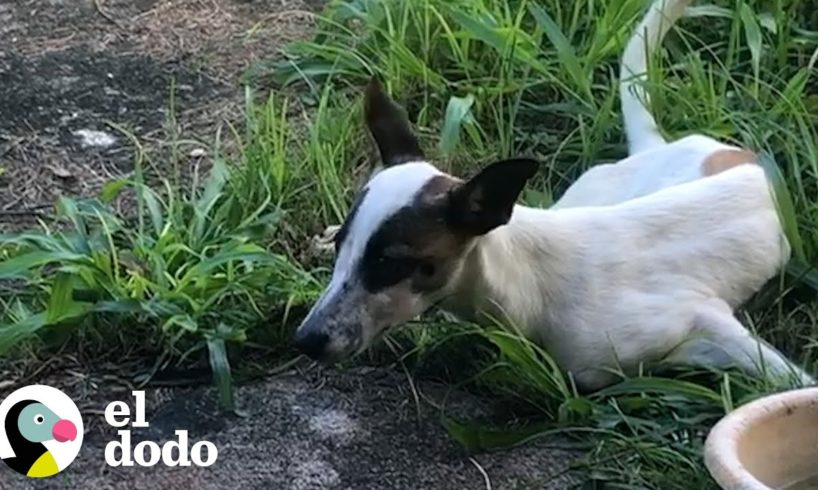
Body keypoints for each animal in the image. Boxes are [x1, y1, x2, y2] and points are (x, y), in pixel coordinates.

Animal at [294, 0, 808, 390]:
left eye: (389, 263)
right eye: (341, 247)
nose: (305, 339)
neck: (529, 278)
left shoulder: (699, 320)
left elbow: (787, 378)